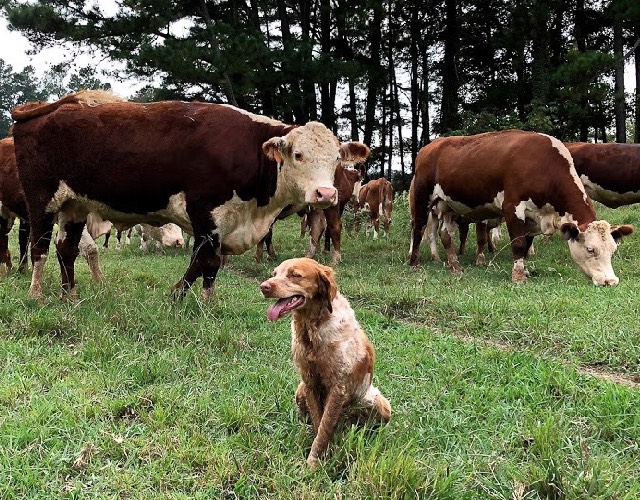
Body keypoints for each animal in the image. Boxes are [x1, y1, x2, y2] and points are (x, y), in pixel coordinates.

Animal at [12, 91, 368, 300]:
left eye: (336, 158)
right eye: (298, 155)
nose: (326, 193)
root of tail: (43, 109)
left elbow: (208, 266)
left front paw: (204, 302)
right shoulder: (206, 213)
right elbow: (205, 260)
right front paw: (182, 298)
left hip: (74, 205)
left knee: (66, 249)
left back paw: (69, 295)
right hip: (41, 202)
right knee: (40, 248)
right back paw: (36, 294)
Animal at [258, 258, 390, 468]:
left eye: (295, 275)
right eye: (275, 273)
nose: (264, 287)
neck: (312, 330)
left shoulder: (338, 388)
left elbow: (324, 428)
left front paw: (313, 463)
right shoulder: (309, 382)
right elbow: (319, 422)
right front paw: (320, 455)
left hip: (377, 402)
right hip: (300, 391)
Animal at [410, 129, 636, 286]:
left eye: (613, 250)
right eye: (590, 249)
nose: (611, 281)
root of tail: (431, 145)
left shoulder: (533, 216)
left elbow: (527, 245)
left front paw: (524, 270)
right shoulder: (513, 207)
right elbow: (518, 244)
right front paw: (518, 277)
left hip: (448, 205)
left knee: (445, 233)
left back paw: (455, 265)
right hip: (422, 197)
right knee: (418, 229)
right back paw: (414, 264)